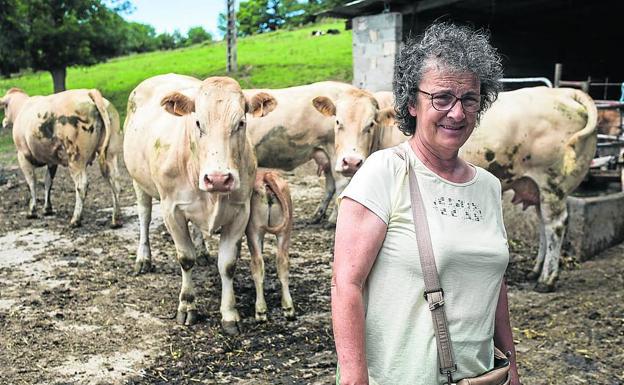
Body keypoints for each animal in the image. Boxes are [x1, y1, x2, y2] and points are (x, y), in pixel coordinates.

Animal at [0, 86, 123, 228]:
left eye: (5, 107)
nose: (4, 122)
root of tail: (90, 92)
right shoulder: (51, 160)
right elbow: (48, 182)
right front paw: (47, 208)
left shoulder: (22, 156)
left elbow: (32, 183)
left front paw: (32, 211)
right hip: (111, 153)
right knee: (115, 180)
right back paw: (116, 219)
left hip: (76, 158)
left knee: (81, 185)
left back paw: (75, 219)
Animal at [245, 82, 360, 224]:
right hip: (326, 154)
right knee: (331, 184)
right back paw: (315, 217)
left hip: (335, 149)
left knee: (342, 182)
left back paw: (332, 220)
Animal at [246, 166, 294, 320]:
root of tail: (267, 175)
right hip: (285, 230)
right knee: (282, 262)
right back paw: (288, 308)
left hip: (253, 231)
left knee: (257, 263)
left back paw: (260, 310)